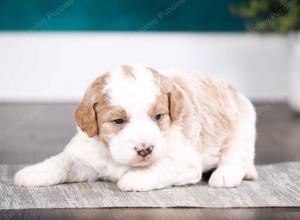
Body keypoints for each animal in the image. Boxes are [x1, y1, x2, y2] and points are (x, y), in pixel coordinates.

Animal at [14, 63, 258, 191]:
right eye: (118, 121)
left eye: (158, 116)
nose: (145, 149)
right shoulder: (85, 158)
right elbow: (62, 162)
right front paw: (33, 172)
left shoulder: (185, 161)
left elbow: (162, 166)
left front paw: (135, 178)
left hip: (242, 129)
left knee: (236, 157)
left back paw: (225, 174)